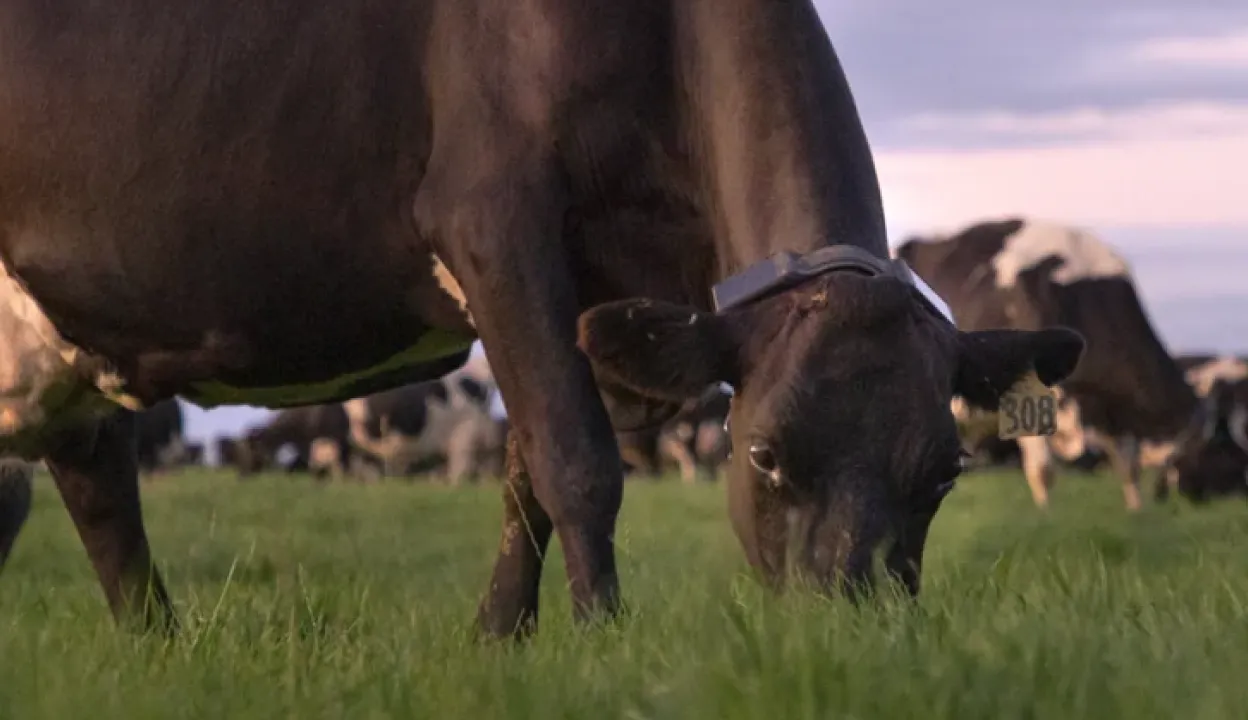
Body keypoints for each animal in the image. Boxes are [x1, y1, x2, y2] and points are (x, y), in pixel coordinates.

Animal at [0, 2, 1084, 638]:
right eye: (765, 454)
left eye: (944, 472)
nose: (849, 636)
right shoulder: (491, 221)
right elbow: (576, 462)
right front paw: (601, 639)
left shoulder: (598, 289)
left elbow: (525, 470)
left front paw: (501, 639)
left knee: (89, 483)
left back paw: (155, 642)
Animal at [896, 218, 1194, 511]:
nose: (1179, 502)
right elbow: (1043, 470)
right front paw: (1045, 515)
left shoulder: (1111, 408)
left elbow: (1128, 465)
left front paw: (1136, 512)